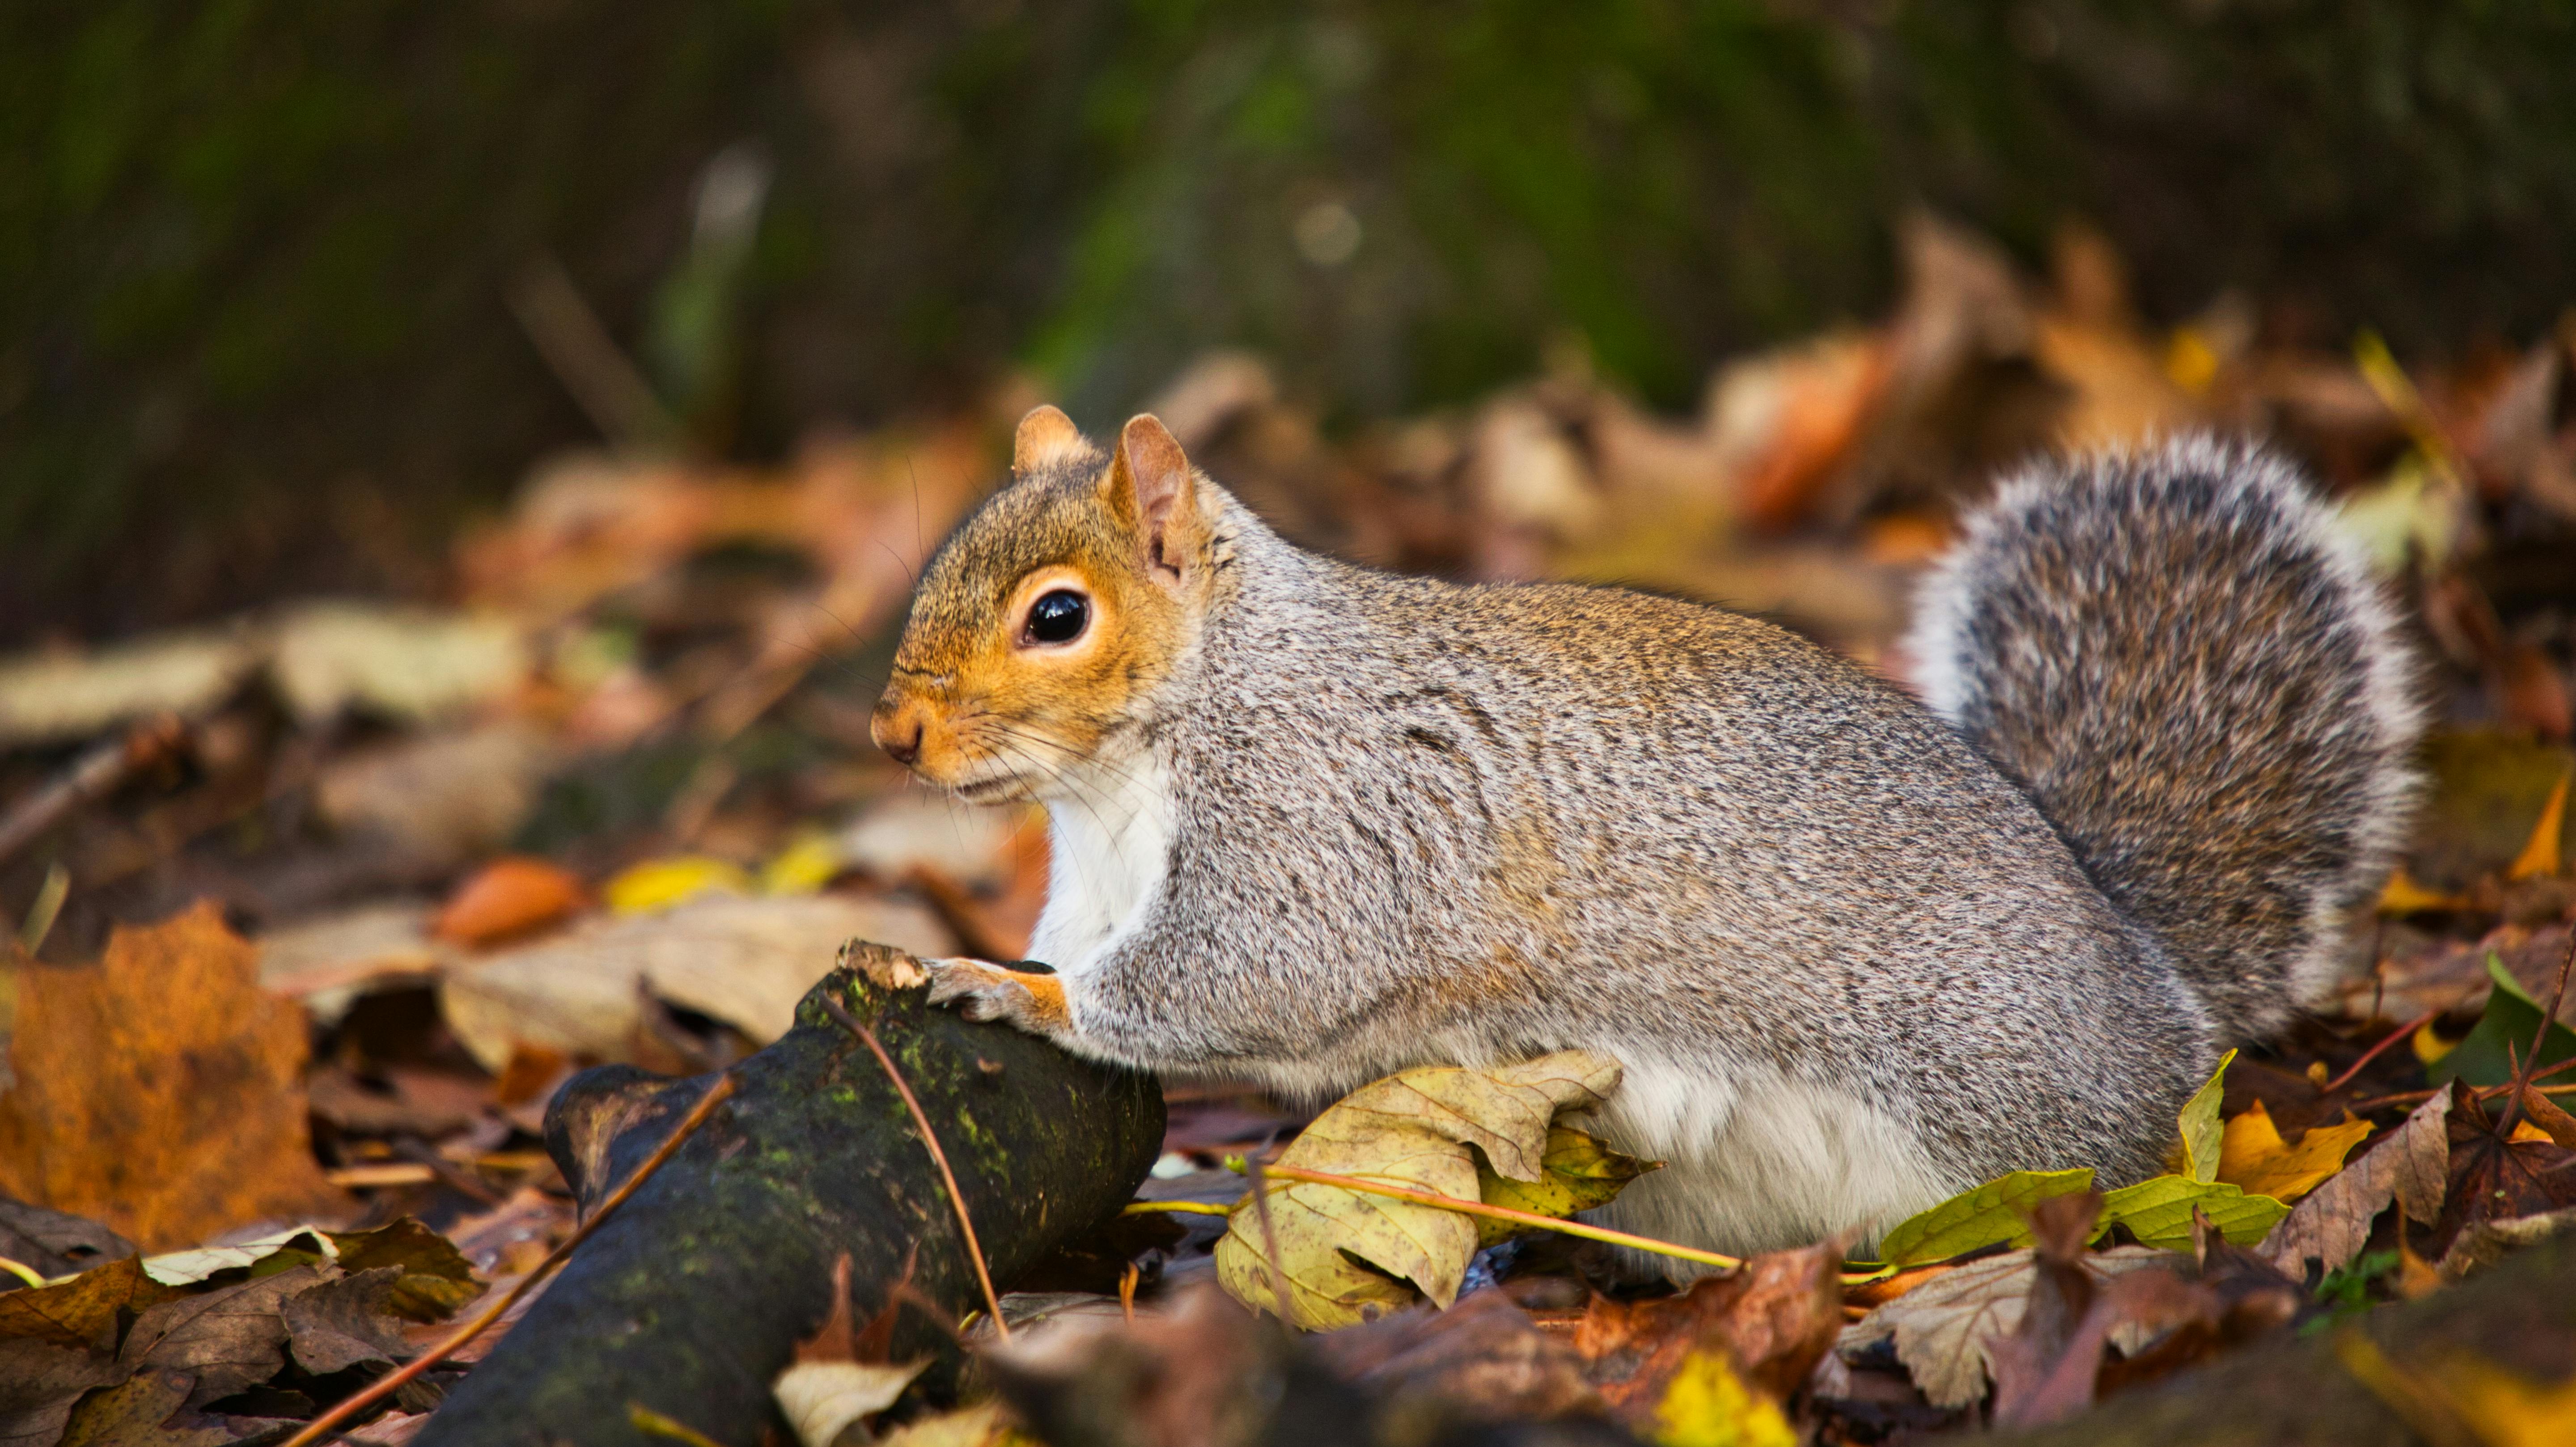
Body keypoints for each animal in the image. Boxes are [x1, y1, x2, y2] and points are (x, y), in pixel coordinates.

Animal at [876, 406, 2421, 1261]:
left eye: (1058, 616)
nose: (894, 736)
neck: (1118, 784)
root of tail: (2148, 976)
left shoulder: (1324, 819)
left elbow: (1243, 977)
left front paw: (999, 986)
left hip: (2020, 1105)